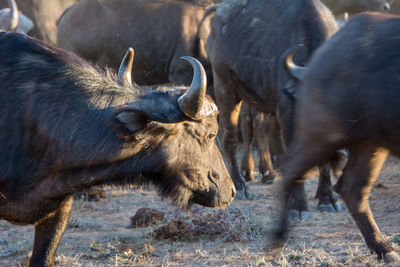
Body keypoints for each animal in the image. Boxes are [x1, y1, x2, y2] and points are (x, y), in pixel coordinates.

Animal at [206, 0, 340, 214]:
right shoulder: (287, 117)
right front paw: (298, 205)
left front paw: (327, 198)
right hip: (224, 86)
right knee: (229, 137)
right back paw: (241, 185)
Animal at [274, 12, 400, 264]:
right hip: (323, 134)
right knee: (290, 171)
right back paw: (279, 234)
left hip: (369, 143)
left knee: (351, 187)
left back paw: (384, 249)